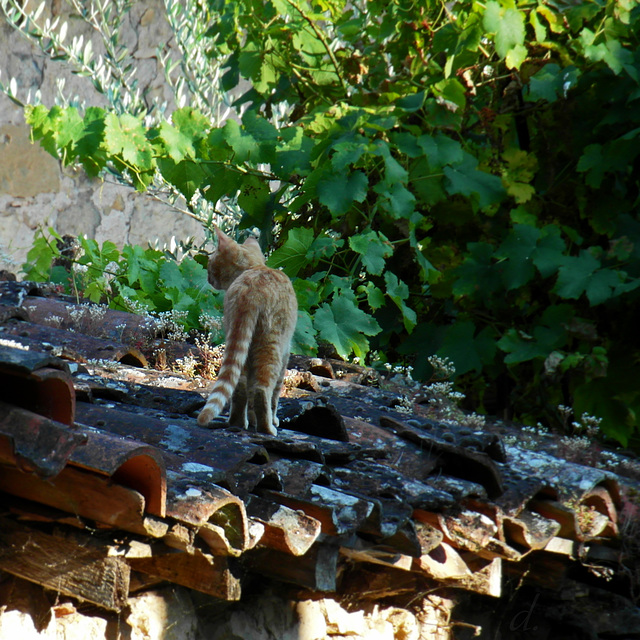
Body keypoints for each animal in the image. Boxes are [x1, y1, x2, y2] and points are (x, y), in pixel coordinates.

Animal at [198, 226, 298, 436]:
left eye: (210, 263)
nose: (208, 277)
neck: (254, 267)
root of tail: (250, 291)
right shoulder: (285, 353)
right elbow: (275, 395)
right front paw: (273, 419)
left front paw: (251, 419)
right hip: (270, 346)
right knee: (262, 390)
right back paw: (267, 428)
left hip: (239, 343)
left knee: (240, 386)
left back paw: (237, 422)